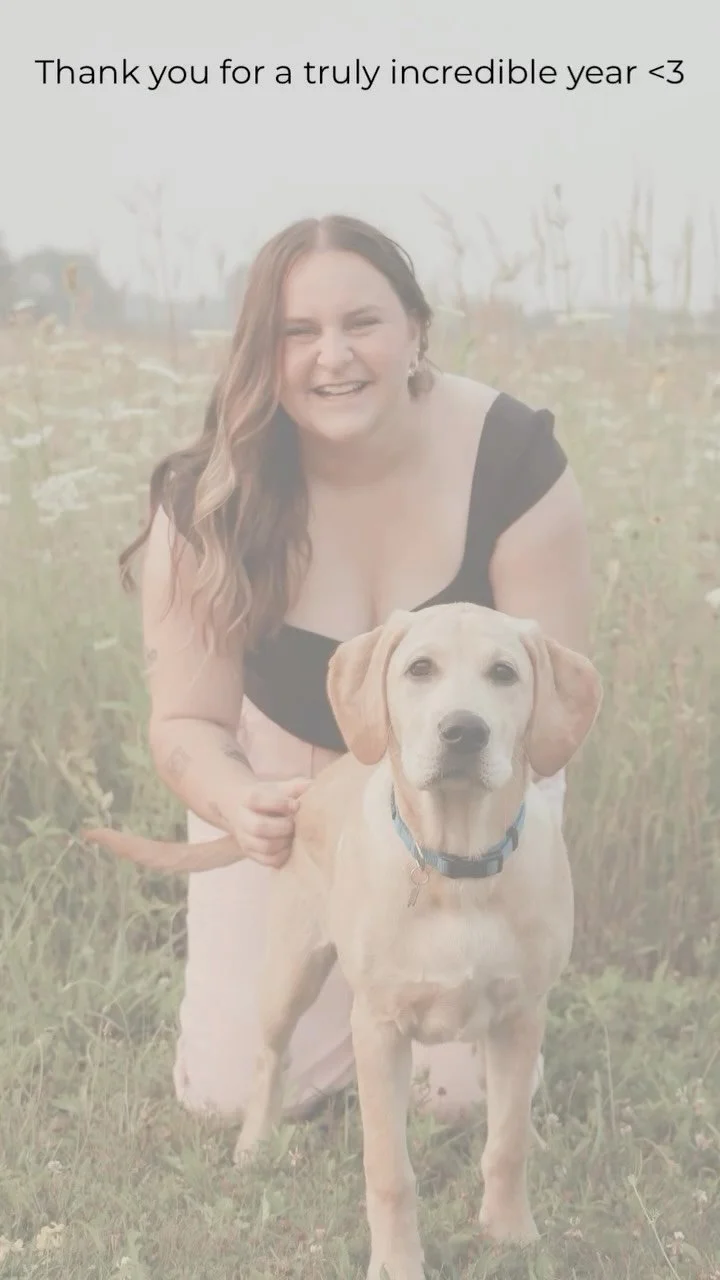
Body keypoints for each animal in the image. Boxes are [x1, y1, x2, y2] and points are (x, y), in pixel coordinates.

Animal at [84, 603, 602, 1280]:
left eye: (504, 673)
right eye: (420, 669)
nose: (464, 732)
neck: (456, 866)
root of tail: (314, 789)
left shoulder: (520, 1016)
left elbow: (507, 1142)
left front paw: (511, 1235)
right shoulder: (378, 1030)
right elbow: (389, 1169)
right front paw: (398, 1262)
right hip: (289, 972)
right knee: (268, 1058)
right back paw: (254, 1145)